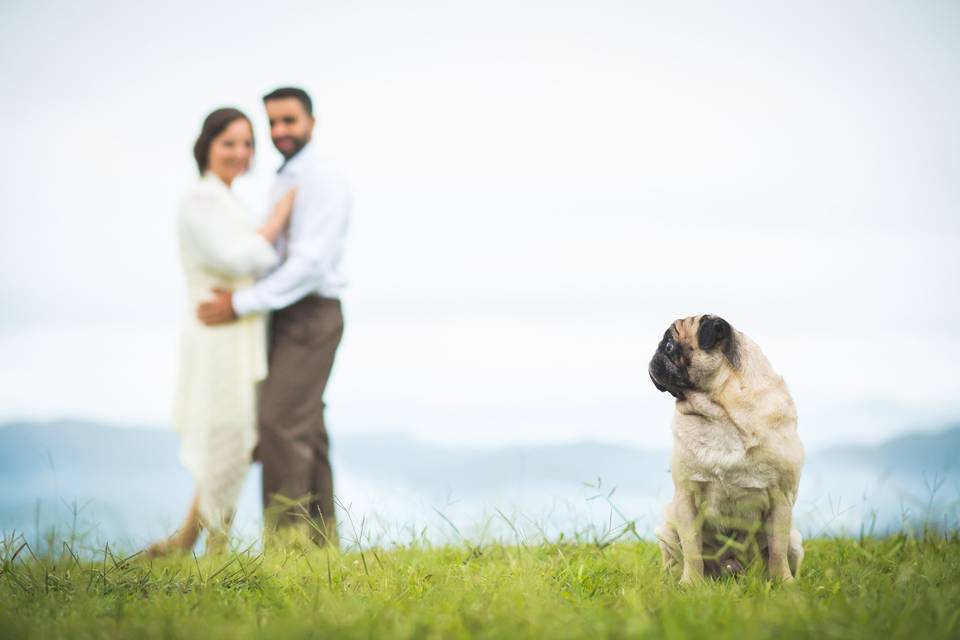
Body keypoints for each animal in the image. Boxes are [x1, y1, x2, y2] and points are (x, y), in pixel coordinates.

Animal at [652, 312, 804, 584]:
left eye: (669, 346)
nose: (654, 355)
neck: (720, 411)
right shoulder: (685, 498)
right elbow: (692, 550)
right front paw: (690, 584)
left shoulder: (781, 500)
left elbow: (777, 551)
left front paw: (784, 583)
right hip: (667, 528)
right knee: (672, 557)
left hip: (795, 542)